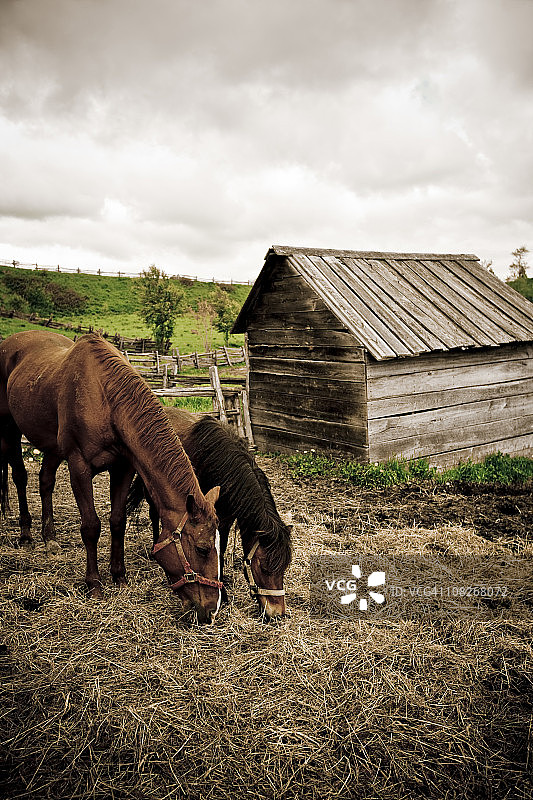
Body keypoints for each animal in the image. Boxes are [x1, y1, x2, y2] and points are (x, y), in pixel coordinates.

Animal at [0, 331, 222, 623]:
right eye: (202, 549)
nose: (212, 609)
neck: (105, 398)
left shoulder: (123, 468)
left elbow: (118, 521)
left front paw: (120, 578)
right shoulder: (79, 467)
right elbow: (91, 526)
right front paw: (94, 584)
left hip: (52, 447)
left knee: (45, 481)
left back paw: (50, 538)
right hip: (10, 431)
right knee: (20, 476)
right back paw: (26, 533)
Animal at [126, 407, 292, 619]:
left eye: (284, 568)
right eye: (264, 567)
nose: (277, 613)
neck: (223, 467)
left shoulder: (225, 519)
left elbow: (220, 548)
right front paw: (224, 593)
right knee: (154, 515)